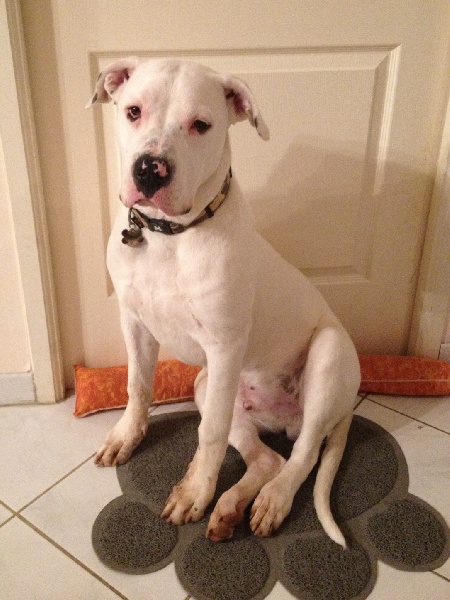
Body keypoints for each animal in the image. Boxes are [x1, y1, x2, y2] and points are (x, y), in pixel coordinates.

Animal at [87, 57, 361, 547]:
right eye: (133, 111)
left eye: (201, 125)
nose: (149, 169)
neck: (167, 235)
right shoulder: (134, 321)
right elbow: (137, 386)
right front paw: (126, 437)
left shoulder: (224, 345)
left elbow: (209, 433)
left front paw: (196, 492)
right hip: (207, 386)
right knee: (268, 457)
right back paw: (231, 506)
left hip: (327, 357)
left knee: (303, 455)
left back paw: (271, 501)